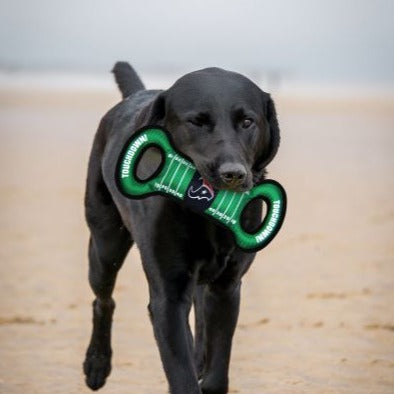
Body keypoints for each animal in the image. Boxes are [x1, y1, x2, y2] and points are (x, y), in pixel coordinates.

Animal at [82, 62, 280, 394]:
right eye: (196, 122)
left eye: (247, 122)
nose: (234, 174)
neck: (206, 215)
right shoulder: (168, 296)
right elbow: (181, 373)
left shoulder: (226, 288)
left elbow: (216, 372)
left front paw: (206, 371)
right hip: (105, 244)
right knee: (103, 300)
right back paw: (97, 364)